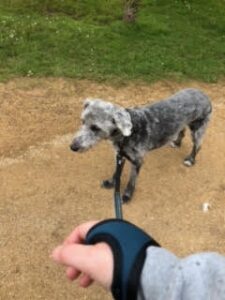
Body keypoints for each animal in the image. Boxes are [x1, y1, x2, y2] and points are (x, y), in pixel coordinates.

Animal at [71, 88, 212, 203]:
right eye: (82, 121)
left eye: (96, 128)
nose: (73, 147)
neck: (129, 132)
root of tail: (203, 94)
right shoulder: (120, 155)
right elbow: (116, 173)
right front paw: (112, 183)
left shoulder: (137, 161)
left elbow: (131, 181)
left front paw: (127, 196)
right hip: (182, 124)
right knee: (181, 132)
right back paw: (177, 143)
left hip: (198, 129)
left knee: (197, 146)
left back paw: (191, 159)